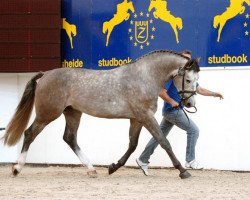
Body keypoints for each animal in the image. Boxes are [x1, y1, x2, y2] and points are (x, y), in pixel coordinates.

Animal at [2, 49, 199, 178]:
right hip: (47, 114)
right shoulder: (145, 116)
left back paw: (91, 169)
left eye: (197, 80)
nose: (189, 103)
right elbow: (163, 142)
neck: (145, 77)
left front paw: (113, 167)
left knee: (70, 138)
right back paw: (17, 168)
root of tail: (45, 75)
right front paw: (183, 171)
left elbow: (132, 145)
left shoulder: (136, 119)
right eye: (189, 79)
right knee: (29, 133)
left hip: (72, 113)